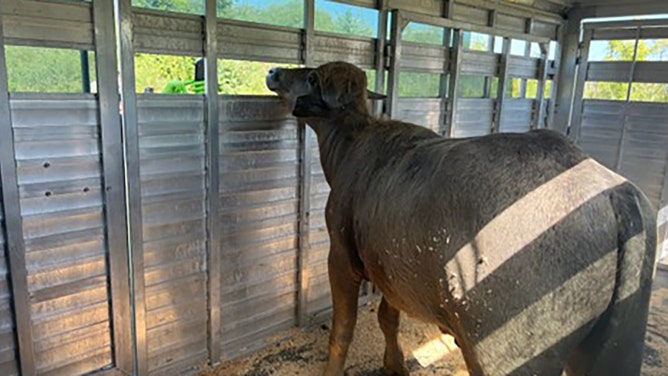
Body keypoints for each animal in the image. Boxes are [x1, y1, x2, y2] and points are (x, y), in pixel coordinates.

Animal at [264, 61, 656, 376]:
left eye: (311, 75)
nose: (274, 71)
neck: (352, 144)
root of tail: (614, 192)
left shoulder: (342, 258)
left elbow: (342, 331)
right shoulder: (392, 269)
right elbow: (388, 318)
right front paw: (395, 365)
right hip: (614, 347)